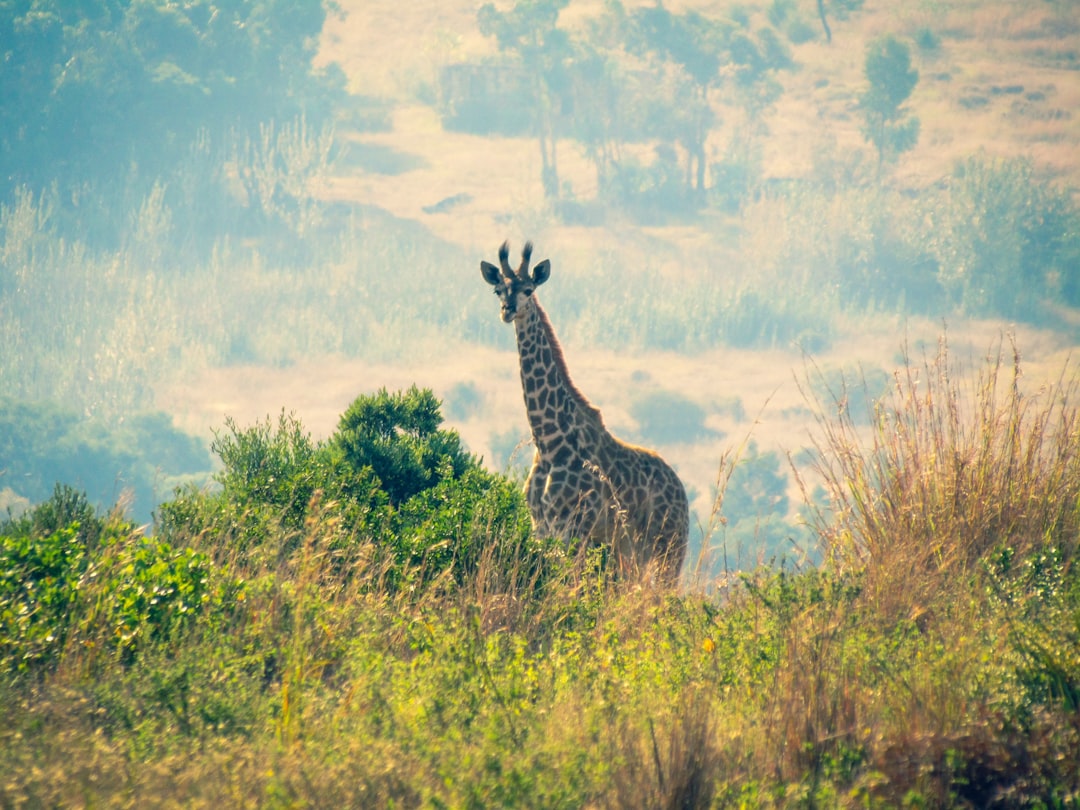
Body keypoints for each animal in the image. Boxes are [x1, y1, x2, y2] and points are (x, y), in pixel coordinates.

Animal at [483, 237, 691, 587]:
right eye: (499, 289)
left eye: (528, 289)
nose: (507, 310)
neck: (549, 441)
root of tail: (682, 493)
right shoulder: (541, 527)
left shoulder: (574, 528)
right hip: (631, 549)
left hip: (669, 547)